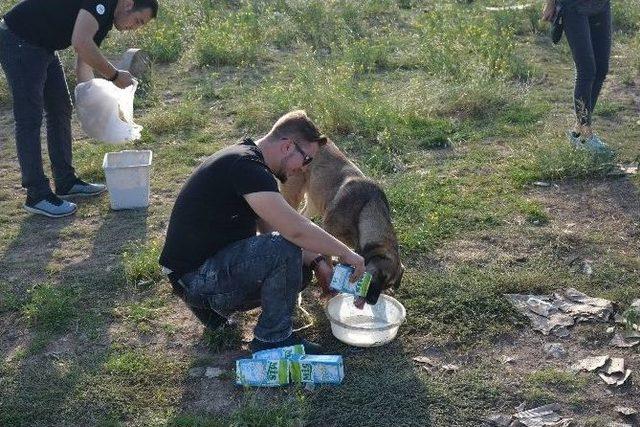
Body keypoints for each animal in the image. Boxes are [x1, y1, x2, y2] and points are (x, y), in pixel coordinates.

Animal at [282, 140, 402, 304]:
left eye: (388, 285)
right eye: (380, 275)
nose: (372, 301)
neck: (365, 209)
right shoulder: (327, 230)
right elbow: (328, 258)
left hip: (315, 201)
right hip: (293, 195)